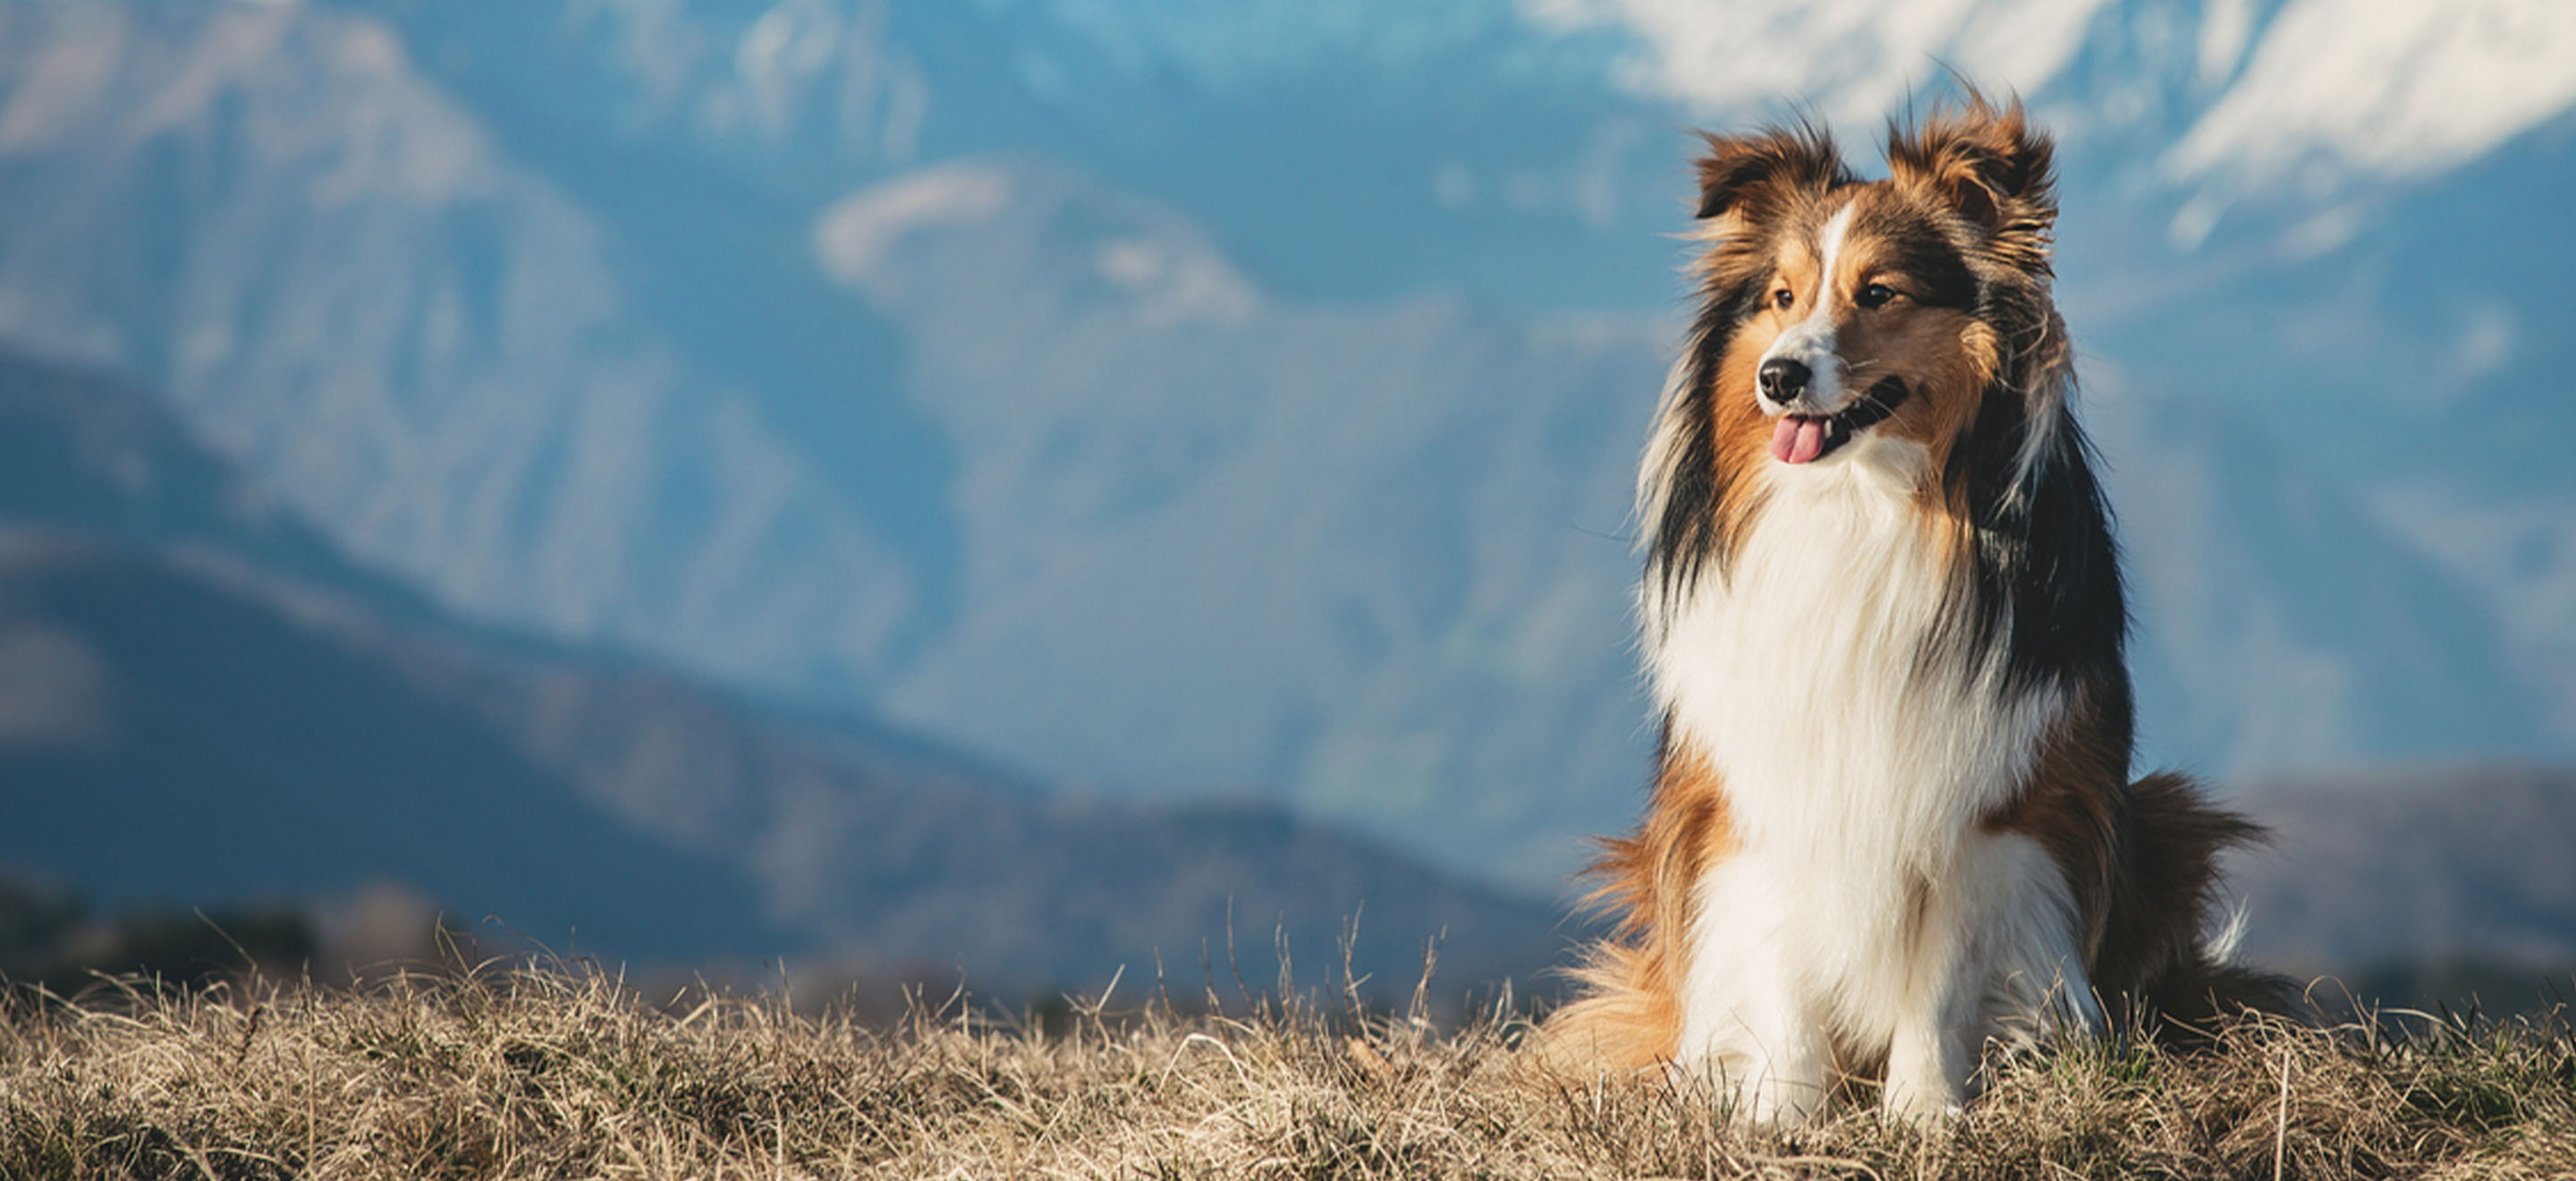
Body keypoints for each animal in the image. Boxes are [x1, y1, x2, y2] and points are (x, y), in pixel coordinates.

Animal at [1535, 97, 2287, 1118]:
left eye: (1880, 292)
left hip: (2166, 817)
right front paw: (1781, 1117)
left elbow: (1938, 984)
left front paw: (1926, 1115)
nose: (1777, 377)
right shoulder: (1758, 797)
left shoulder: (1986, 806)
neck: (1863, 506)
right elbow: (1783, 972)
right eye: (1781, 297)